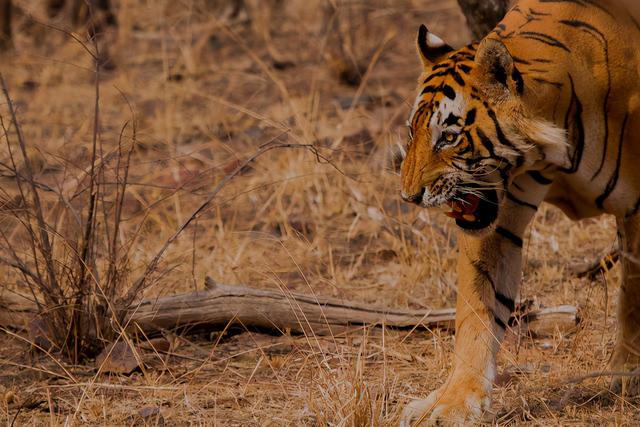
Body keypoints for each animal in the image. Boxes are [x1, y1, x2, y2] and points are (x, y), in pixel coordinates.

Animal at [400, 0, 640, 426]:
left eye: (449, 137)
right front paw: (454, 400)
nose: (409, 196)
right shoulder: (494, 223)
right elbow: (477, 308)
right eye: (413, 133)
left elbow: (632, 298)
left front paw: (626, 373)